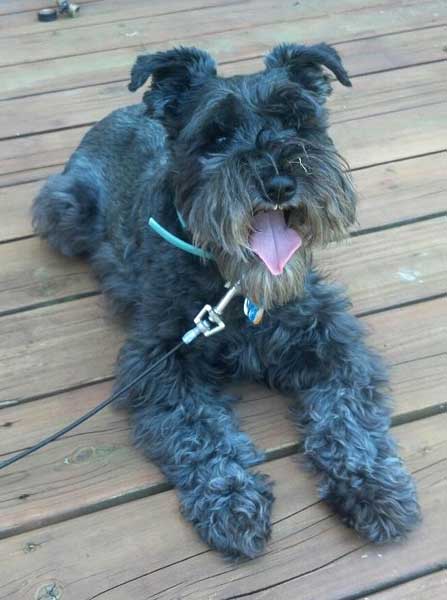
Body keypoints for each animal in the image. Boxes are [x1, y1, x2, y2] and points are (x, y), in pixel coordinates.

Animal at [31, 44, 420, 560]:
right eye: (216, 135)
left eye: (297, 120)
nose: (279, 183)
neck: (236, 291)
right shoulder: (161, 362)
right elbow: (199, 430)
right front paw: (232, 501)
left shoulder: (331, 341)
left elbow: (346, 415)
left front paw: (372, 484)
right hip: (65, 207)